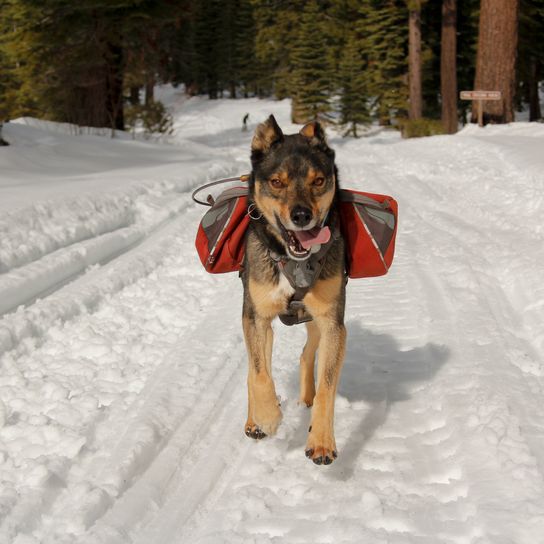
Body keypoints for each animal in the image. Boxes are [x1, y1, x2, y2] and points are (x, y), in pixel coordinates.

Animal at [241, 113, 346, 464]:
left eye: (318, 180)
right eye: (276, 182)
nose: (302, 215)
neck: (293, 262)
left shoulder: (332, 323)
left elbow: (327, 386)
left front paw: (322, 440)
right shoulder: (255, 317)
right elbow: (259, 374)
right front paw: (267, 417)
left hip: (316, 322)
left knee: (306, 354)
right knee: (256, 366)